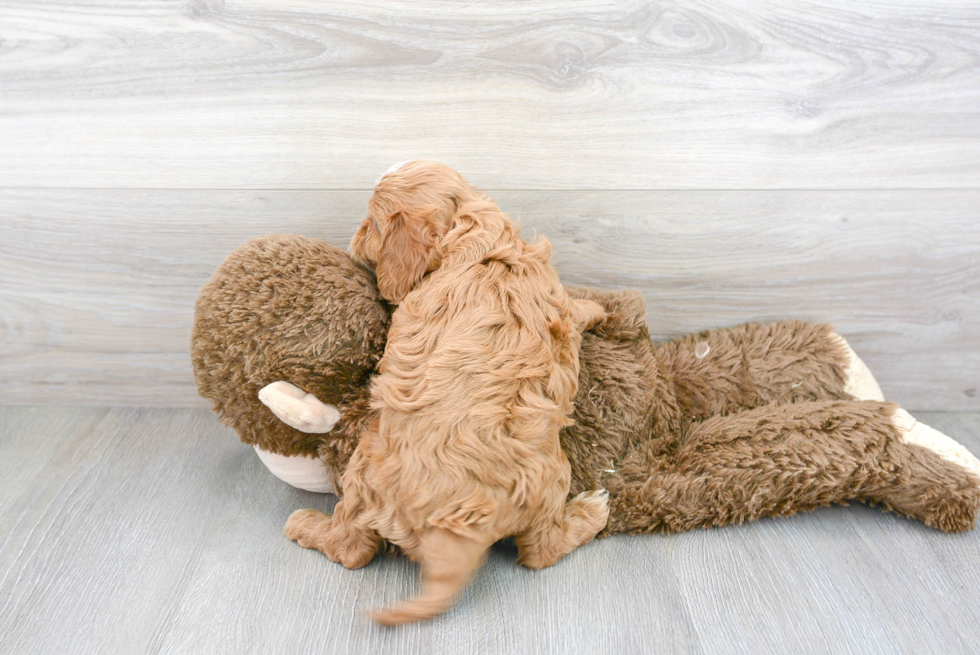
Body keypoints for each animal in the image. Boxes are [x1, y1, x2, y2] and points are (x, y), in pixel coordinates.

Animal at [284, 161, 608, 624]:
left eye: (372, 223)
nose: (353, 240)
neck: (474, 229)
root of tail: (454, 529)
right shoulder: (552, 293)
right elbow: (574, 308)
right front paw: (597, 309)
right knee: (537, 552)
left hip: (366, 464)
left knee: (352, 548)